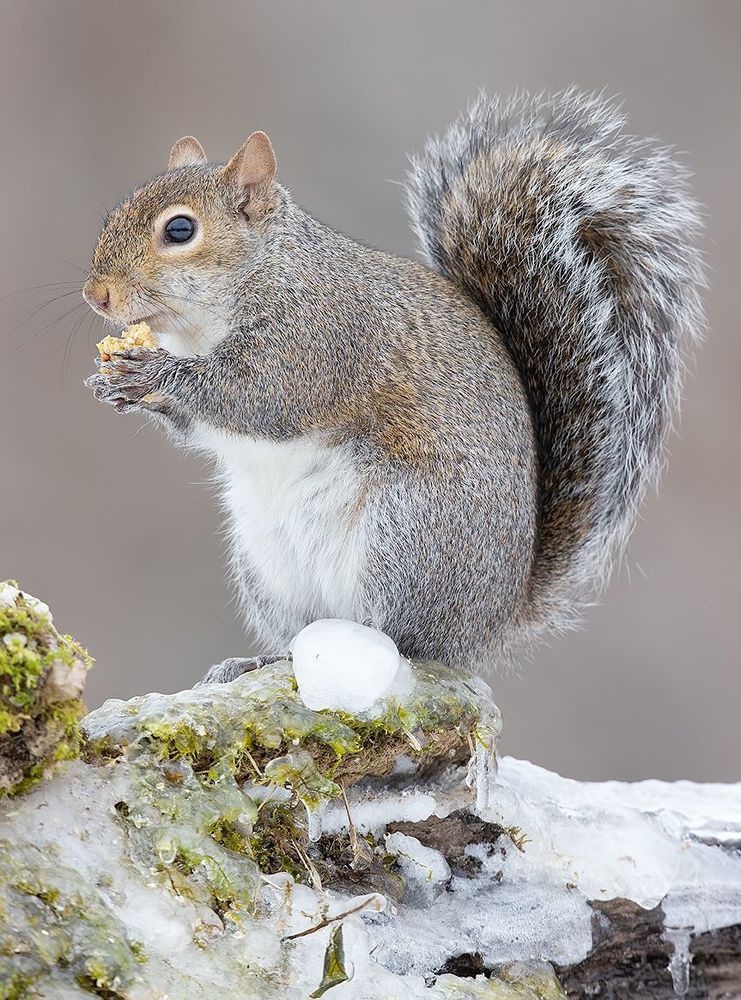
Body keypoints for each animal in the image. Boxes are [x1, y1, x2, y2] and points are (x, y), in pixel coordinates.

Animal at [83, 90, 704, 685]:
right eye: (115, 214)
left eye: (180, 230)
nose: (97, 295)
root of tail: (491, 624)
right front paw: (114, 384)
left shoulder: (317, 341)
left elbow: (258, 397)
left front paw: (151, 373)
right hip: (268, 566)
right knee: (301, 634)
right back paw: (260, 662)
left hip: (407, 536)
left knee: (406, 639)